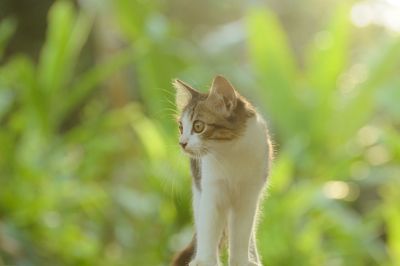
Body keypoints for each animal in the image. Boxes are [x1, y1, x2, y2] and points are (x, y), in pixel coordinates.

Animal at [171, 75, 272, 266]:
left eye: (198, 126)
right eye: (181, 127)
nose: (182, 143)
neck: (230, 151)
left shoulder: (249, 194)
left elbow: (242, 232)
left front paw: (242, 260)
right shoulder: (211, 189)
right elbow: (209, 227)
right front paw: (205, 261)